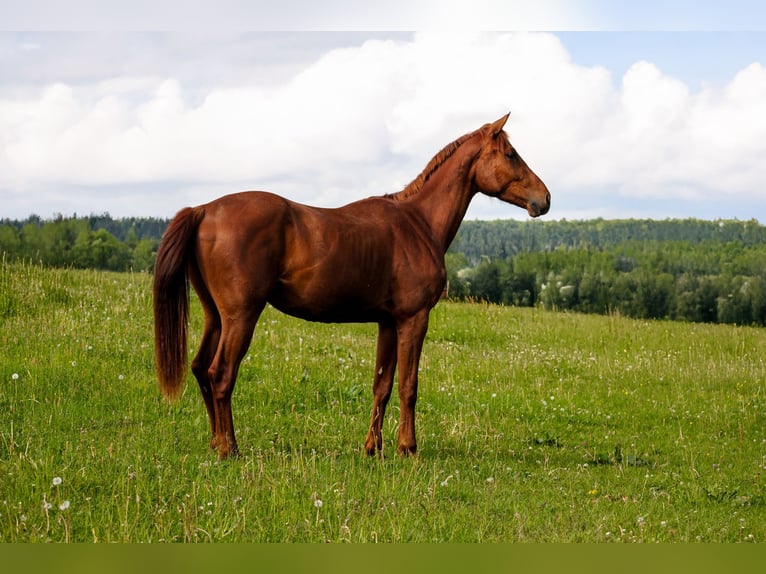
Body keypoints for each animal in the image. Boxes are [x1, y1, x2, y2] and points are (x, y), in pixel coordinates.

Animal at [153, 113, 550, 459]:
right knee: (221, 374)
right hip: (241, 317)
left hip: (216, 316)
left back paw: (215, 443)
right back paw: (229, 449)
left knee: (201, 369)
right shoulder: (414, 319)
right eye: (511, 154)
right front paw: (408, 448)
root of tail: (204, 209)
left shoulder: (389, 322)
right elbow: (409, 386)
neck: (417, 223)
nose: (544, 199)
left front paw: (373, 448)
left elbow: (382, 386)